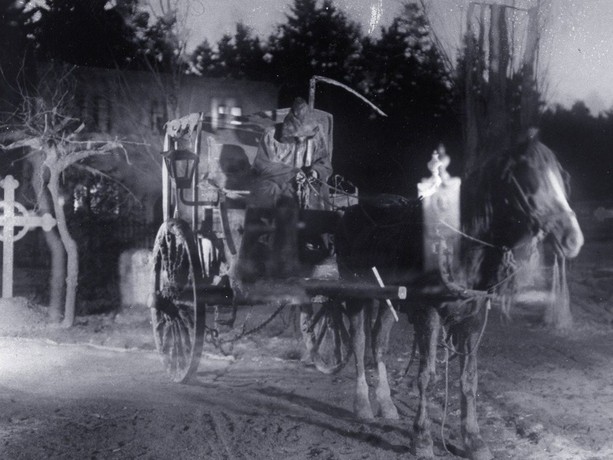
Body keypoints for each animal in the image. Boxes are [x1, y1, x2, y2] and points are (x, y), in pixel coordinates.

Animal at [334, 136, 584, 460]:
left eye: (562, 177)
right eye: (529, 178)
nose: (572, 238)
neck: (459, 246)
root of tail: (351, 211)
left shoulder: (473, 317)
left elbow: (468, 380)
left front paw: (473, 439)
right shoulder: (428, 314)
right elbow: (427, 377)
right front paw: (422, 438)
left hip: (390, 301)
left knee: (378, 343)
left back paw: (386, 404)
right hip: (355, 295)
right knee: (359, 342)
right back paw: (363, 403)